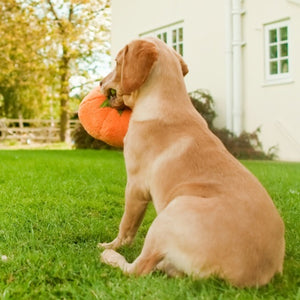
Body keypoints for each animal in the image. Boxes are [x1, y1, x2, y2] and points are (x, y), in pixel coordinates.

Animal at [99, 36, 284, 288]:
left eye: (118, 62)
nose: (100, 82)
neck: (166, 102)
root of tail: (245, 278)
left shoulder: (135, 186)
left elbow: (126, 227)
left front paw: (112, 245)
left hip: (172, 212)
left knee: (138, 268)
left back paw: (109, 256)